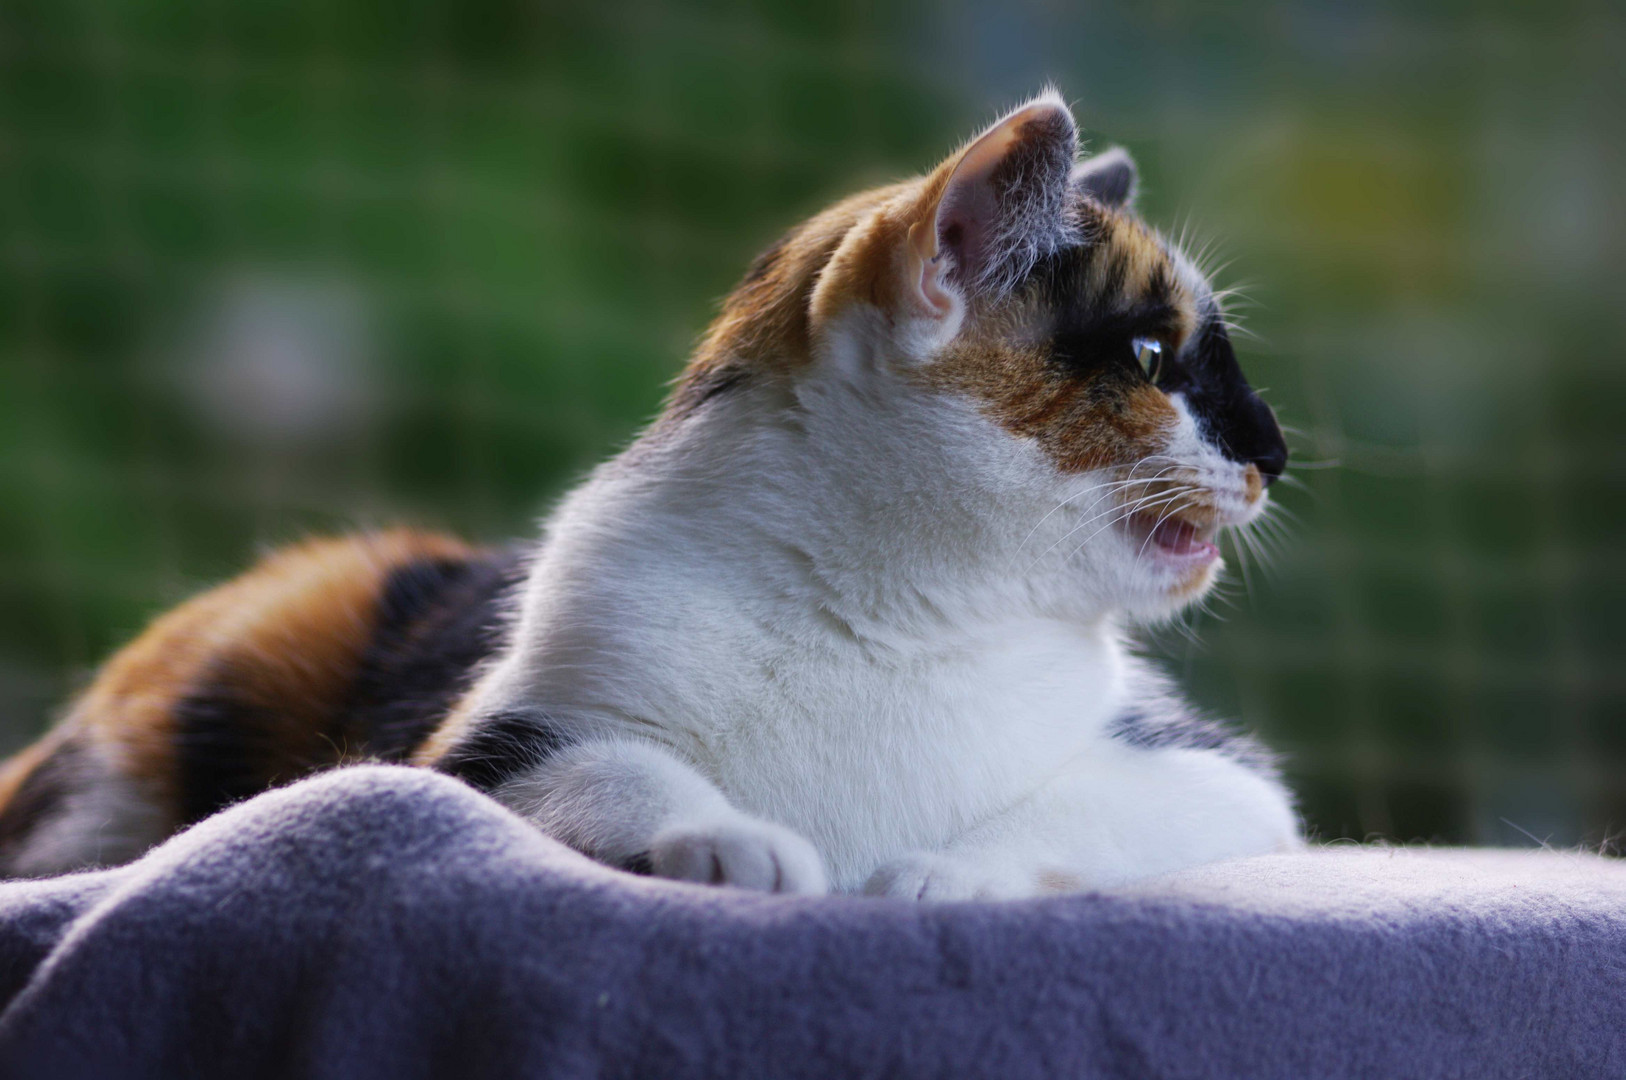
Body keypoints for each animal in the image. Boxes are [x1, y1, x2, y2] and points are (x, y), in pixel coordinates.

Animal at [0, 90, 1294, 891]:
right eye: (1151, 360)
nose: (1276, 449)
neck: (895, 618)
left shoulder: (1220, 776)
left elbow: (1097, 811)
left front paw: (935, 877)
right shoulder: (485, 750)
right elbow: (614, 769)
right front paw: (734, 844)